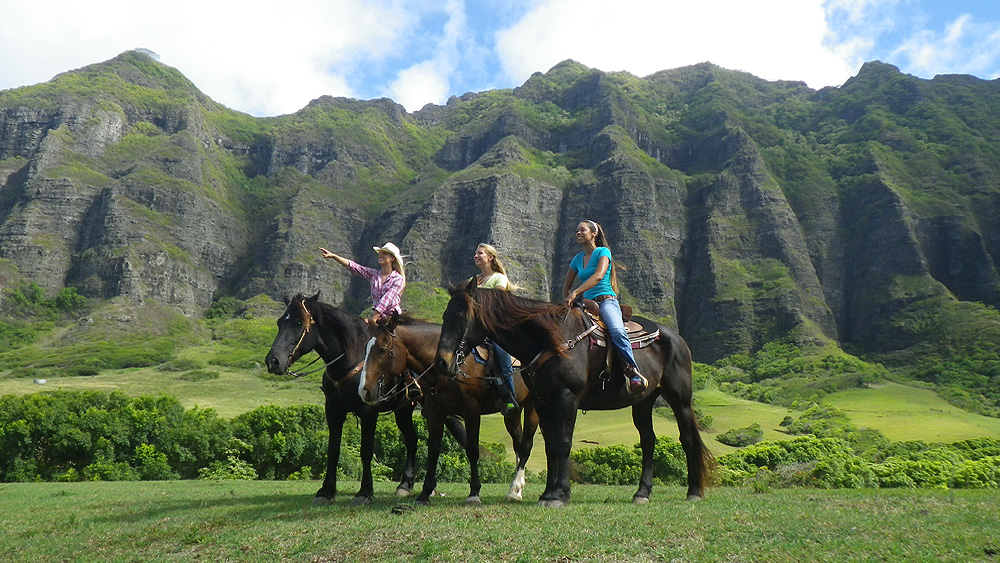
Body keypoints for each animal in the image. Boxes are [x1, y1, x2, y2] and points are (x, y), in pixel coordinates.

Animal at [266, 296, 468, 506]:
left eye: (298, 323)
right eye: (280, 322)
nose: (273, 361)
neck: (351, 358)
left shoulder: (368, 411)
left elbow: (366, 450)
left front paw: (364, 492)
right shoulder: (333, 410)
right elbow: (333, 450)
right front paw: (326, 490)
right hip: (403, 410)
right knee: (412, 440)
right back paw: (405, 485)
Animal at [360, 312, 540, 506]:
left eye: (383, 348)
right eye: (366, 348)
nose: (364, 390)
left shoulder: (471, 412)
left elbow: (472, 449)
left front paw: (474, 493)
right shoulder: (435, 413)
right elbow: (433, 450)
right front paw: (424, 494)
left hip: (533, 407)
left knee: (526, 445)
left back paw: (514, 489)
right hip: (513, 412)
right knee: (518, 443)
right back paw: (517, 488)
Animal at [436, 282, 712, 506]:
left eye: (460, 314)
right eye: (445, 314)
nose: (442, 362)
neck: (552, 341)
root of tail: (676, 338)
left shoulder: (567, 398)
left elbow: (563, 442)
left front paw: (560, 494)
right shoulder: (543, 403)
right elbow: (551, 445)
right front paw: (548, 493)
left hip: (679, 398)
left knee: (687, 438)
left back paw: (693, 492)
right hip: (643, 401)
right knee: (648, 441)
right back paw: (642, 493)